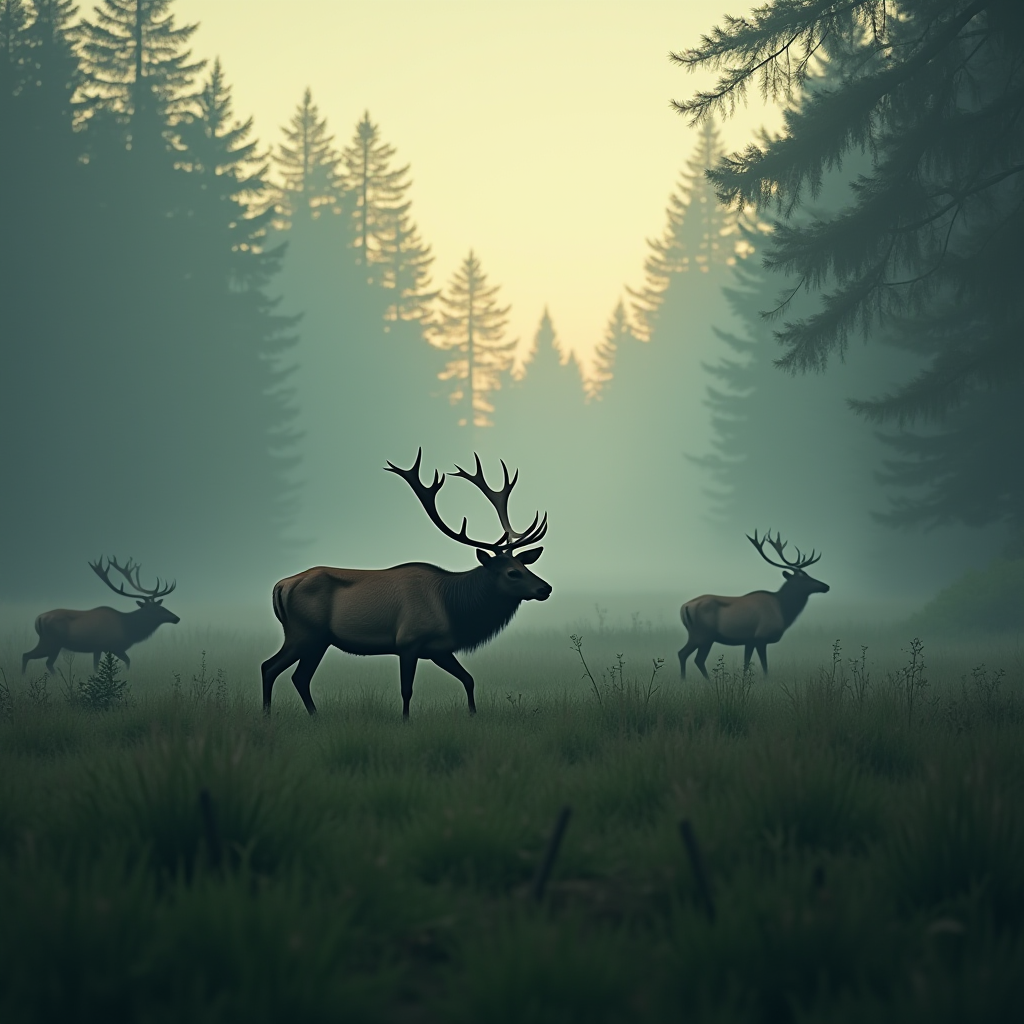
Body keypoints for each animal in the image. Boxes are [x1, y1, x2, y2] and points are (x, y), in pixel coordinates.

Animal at [22, 557, 179, 675]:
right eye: (156, 609)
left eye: (161, 606)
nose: (176, 618)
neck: (128, 629)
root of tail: (38, 619)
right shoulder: (107, 646)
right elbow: (122, 662)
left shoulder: (104, 648)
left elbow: (113, 663)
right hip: (51, 642)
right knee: (30, 656)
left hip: (52, 643)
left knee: (37, 659)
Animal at [264, 448, 552, 720]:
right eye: (512, 573)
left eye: (526, 566)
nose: (545, 588)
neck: (453, 610)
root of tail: (281, 586)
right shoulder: (408, 641)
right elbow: (406, 689)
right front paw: (405, 721)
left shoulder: (440, 649)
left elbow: (469, 679)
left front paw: (473, 714)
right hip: (305, 633)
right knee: (273, 668)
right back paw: (272, 716)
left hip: (316, 639)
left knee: (295, 676)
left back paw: (307, 716)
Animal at [675, 532, 827, 684]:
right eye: (804, 578)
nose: (826, 586)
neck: (783, 611)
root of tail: (684, 607)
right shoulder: (761, 637)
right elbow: (764, 665)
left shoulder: (749, 641)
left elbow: (746, 664)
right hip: (703, 635)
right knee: (693, 657)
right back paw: (703, 681)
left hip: (699, 635)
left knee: (684, 654)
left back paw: (684, 680)